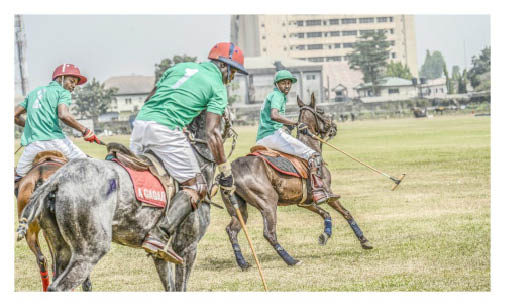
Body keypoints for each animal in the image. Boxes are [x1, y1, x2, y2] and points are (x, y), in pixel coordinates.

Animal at [15, 112, 226, 292]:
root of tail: (55, 179)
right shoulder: (187, 248)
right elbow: (181, 287)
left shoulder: (161, 253)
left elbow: (170, 286)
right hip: (90, 249)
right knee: (61, 285)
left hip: (61, 247)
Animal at [222, 93, 372, 270]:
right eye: (321, 111)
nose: (334, 126)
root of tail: (232, 171)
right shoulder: (328, 193)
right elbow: (345, 213)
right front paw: (364, 241)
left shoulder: (306, 201)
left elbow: (326, 214)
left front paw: (324, 235)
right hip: (268, 202)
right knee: (269, 233)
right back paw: (291, 260)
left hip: (238, 208)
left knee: (231, 230)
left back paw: (243, 263)